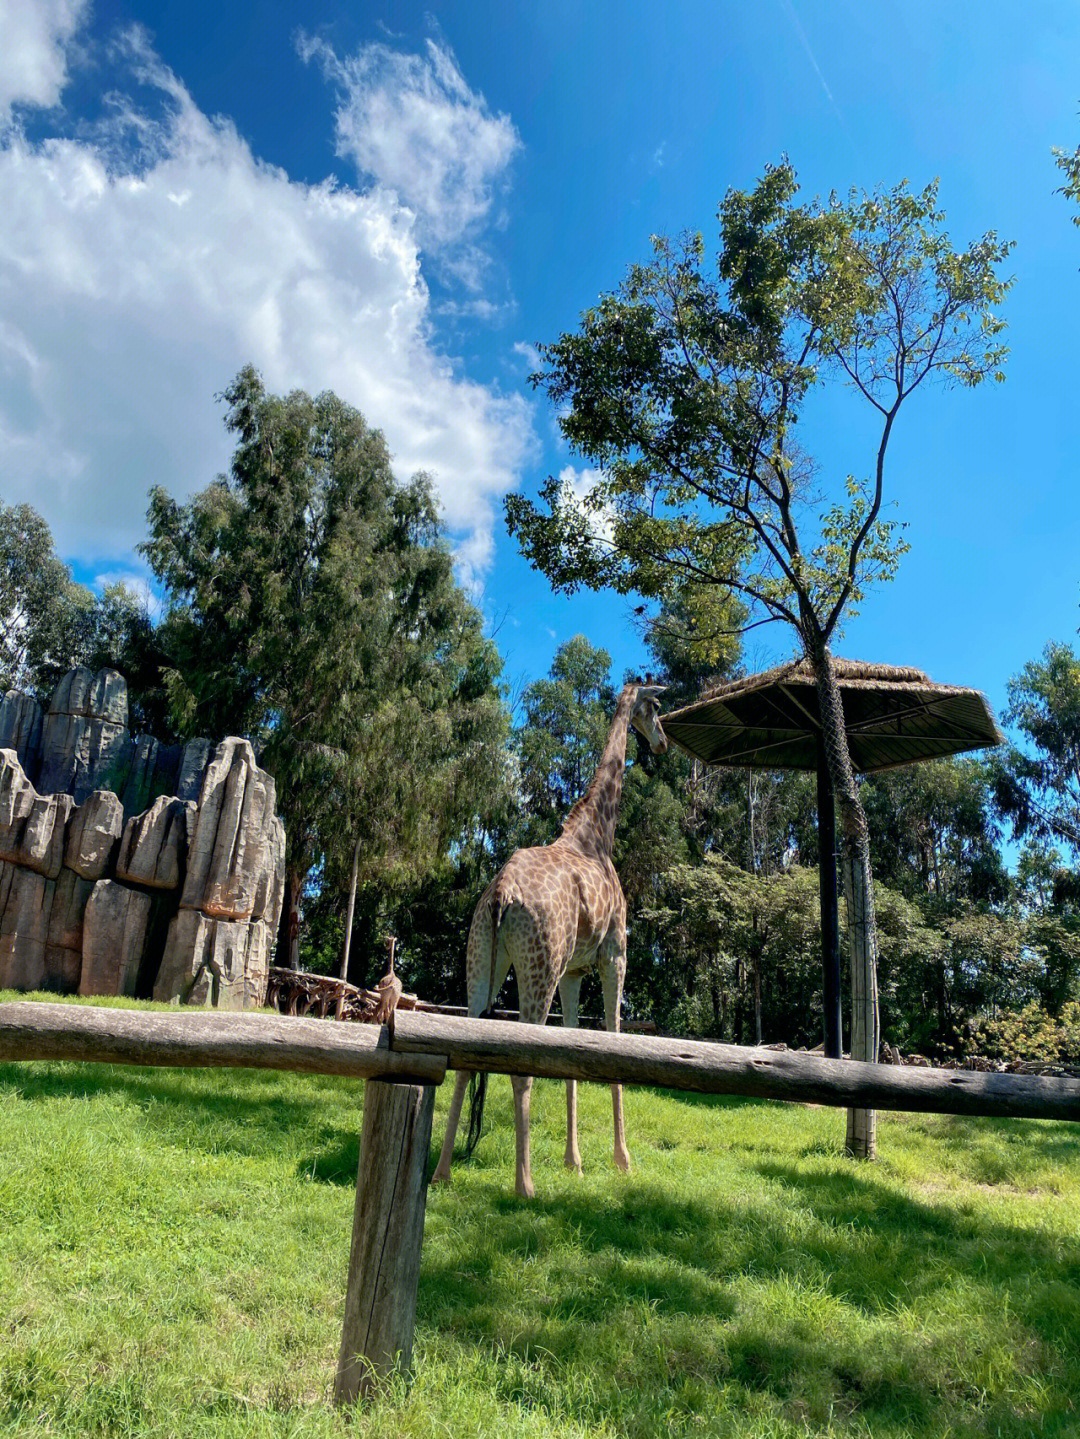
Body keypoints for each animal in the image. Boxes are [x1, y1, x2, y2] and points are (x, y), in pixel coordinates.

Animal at [431, 679, 667, 1197]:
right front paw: (622, 1161)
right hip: (538, 967)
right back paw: (525, 1185)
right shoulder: (614, 954)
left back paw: (442, 1171)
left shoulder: (574, 970)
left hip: (483, 959)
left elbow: (573, 1051)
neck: (596, 838)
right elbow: (612, 1040)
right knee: (522, 1066)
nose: (661, 743)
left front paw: (574, 1161)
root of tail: (501, 892)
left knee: (466, 1053)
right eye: (657, 707)